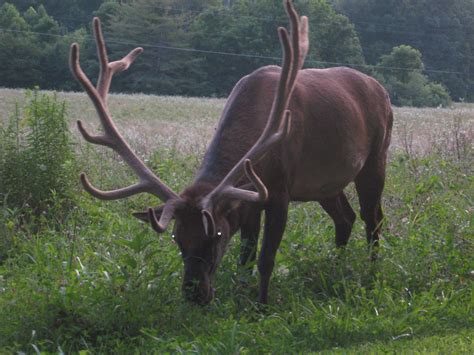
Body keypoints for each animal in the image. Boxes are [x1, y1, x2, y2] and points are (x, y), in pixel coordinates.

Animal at [70, 0, 392, 306]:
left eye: (216, 235)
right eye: (177, 238)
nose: (195, 294)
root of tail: (380, 88)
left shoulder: (279, 191)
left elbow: (265, 258)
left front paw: (261, 306)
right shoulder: (249, 201)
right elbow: (245, 259)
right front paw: (240, 297)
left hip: (376, 157)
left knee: (373, 218)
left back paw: (372, 272)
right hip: (324, 184)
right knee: (345, 218)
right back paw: (337, 266)